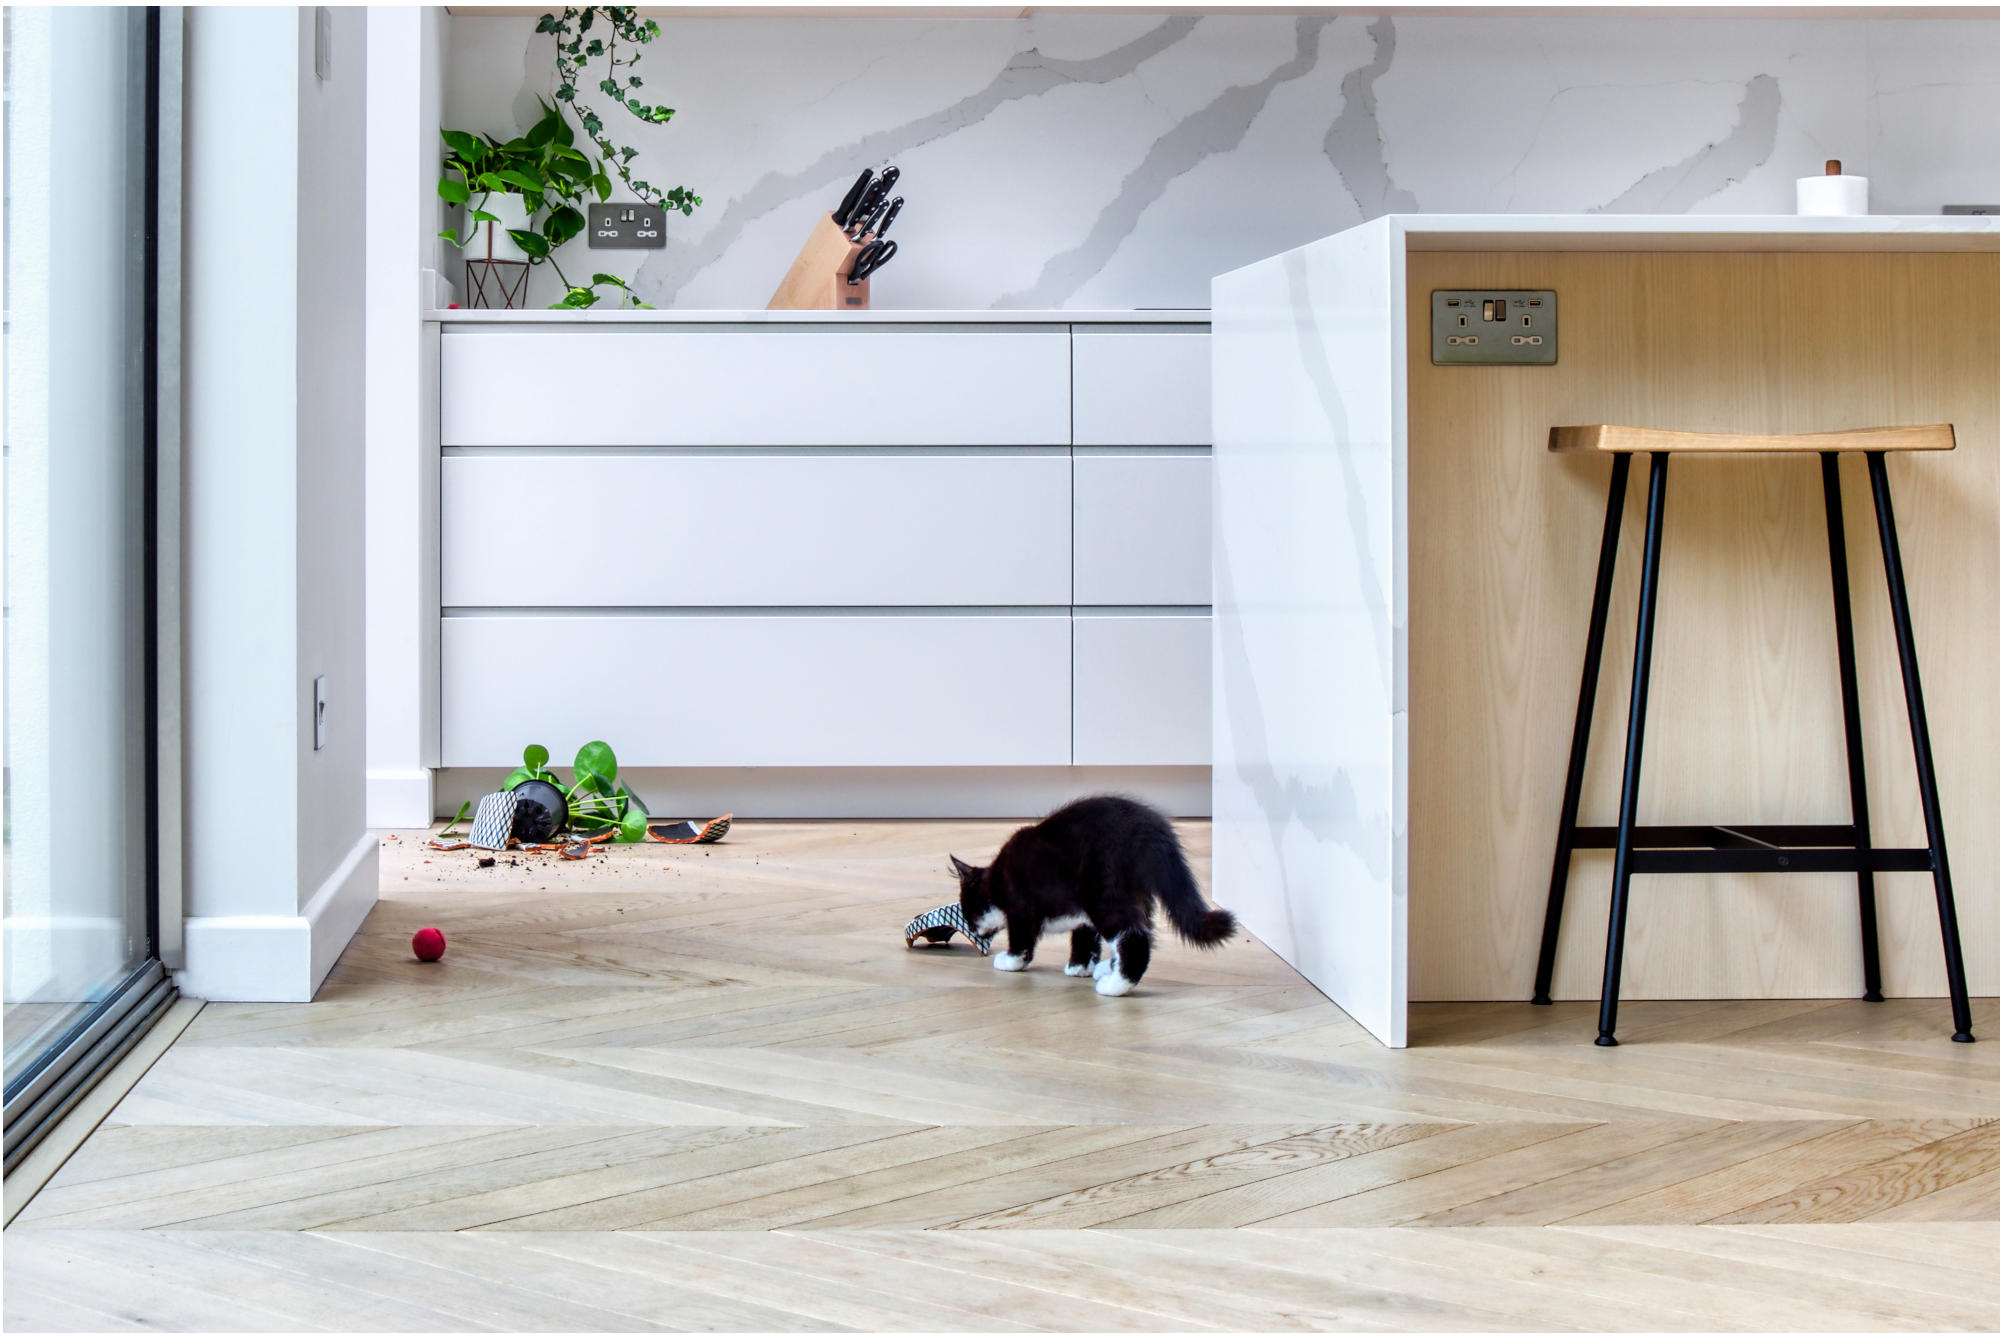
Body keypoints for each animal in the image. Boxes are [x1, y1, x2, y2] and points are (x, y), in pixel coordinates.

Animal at [952, 792, 1232, 992]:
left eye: (967, 910)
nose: (971, 929)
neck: (997, 880)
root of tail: (1151, 829)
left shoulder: (1021, 908)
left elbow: (1021, 940)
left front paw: (1010, 962)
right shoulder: (1080, 914)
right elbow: (1085, 938)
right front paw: (1080, 966)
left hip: (1104, 893)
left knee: (1133, 936)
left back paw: (1115, 985)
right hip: (1134, 897)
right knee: (1140, 930)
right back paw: (1108, 969)